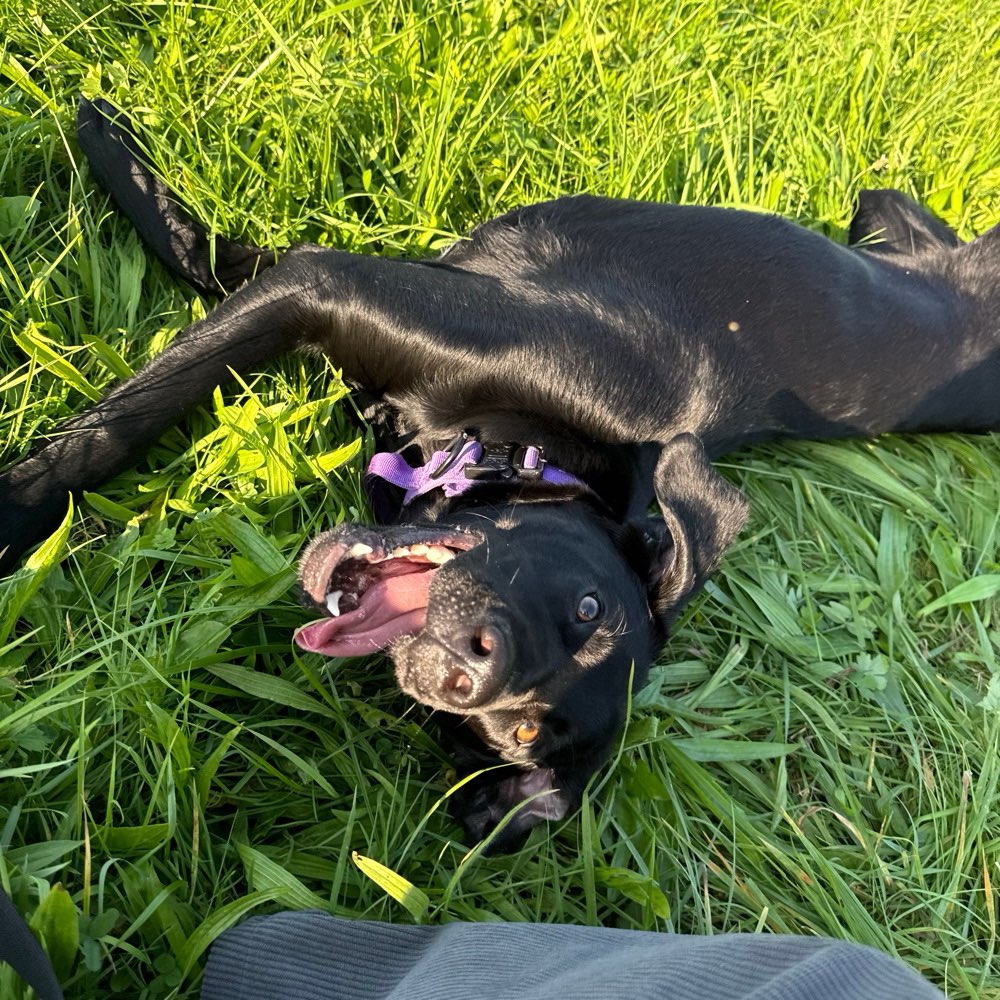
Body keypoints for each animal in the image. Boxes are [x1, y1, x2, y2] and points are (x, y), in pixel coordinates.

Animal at [1, 97, 1000, 852]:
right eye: (591, 607)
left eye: (518, 734)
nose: (471, 672)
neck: (534, 442)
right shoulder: (330, 284)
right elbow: (165, 344)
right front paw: (109, 140)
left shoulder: (331, 285)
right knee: (896, 208)